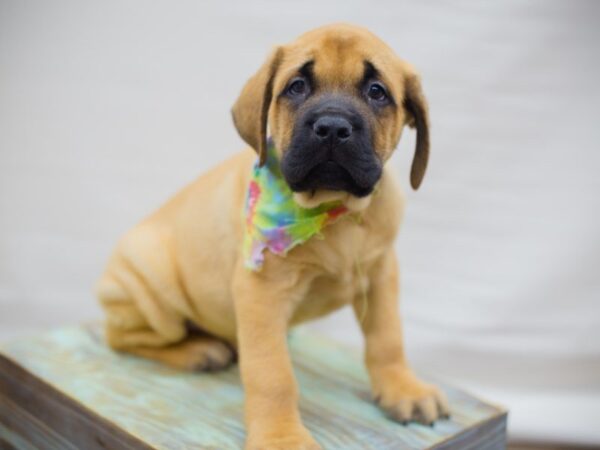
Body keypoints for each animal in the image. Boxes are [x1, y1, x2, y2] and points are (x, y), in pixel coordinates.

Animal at [96, 23, 448, 446]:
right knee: (123, 338)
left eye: (377, 92)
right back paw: (198, 351)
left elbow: (388, 338)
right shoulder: (260, 294)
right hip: (150, 284)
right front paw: (282, 437)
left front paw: (404, 389)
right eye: (297, 86)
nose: (333, 127)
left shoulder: (381, 273)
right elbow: (272, 374)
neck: (335, 212)